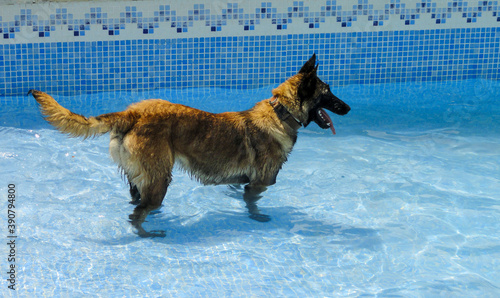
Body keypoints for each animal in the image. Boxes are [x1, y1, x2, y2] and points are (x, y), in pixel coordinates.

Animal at [29, 54, 350, 237]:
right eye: (328, 93)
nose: (347, 108)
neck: (279, 112)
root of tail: (133, 113)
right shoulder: (260, 184)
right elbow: (253, 205)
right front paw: (258, 218)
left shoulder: (245, 182)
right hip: (160, 179)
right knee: (138, 214)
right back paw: (147, 234)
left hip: (141, 178)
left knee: (136, 201)